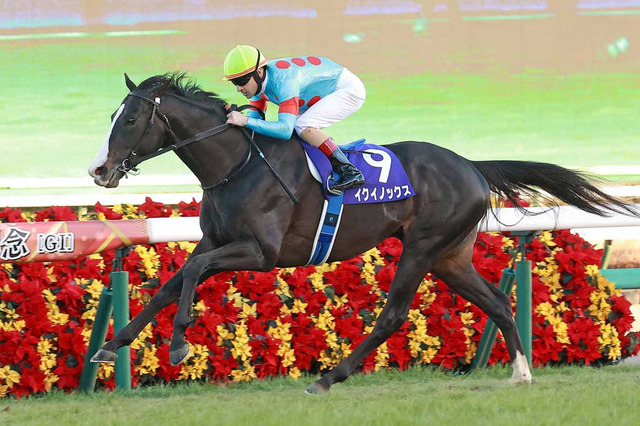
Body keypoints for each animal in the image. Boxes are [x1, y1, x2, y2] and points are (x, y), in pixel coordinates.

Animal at [88, 72, 636, 394]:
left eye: (131, 118)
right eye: (113, 115)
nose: (99, 171)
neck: (238, 163)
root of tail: (471, 166)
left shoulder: (260, 252)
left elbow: (193, 274)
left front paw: (178, 346)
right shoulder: (216, 241)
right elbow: (170, 284)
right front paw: (109, 346)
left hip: (422, 247)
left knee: (392, 315)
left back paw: (330, 377)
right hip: (451, 256)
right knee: (498, 303)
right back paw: (521, 372)